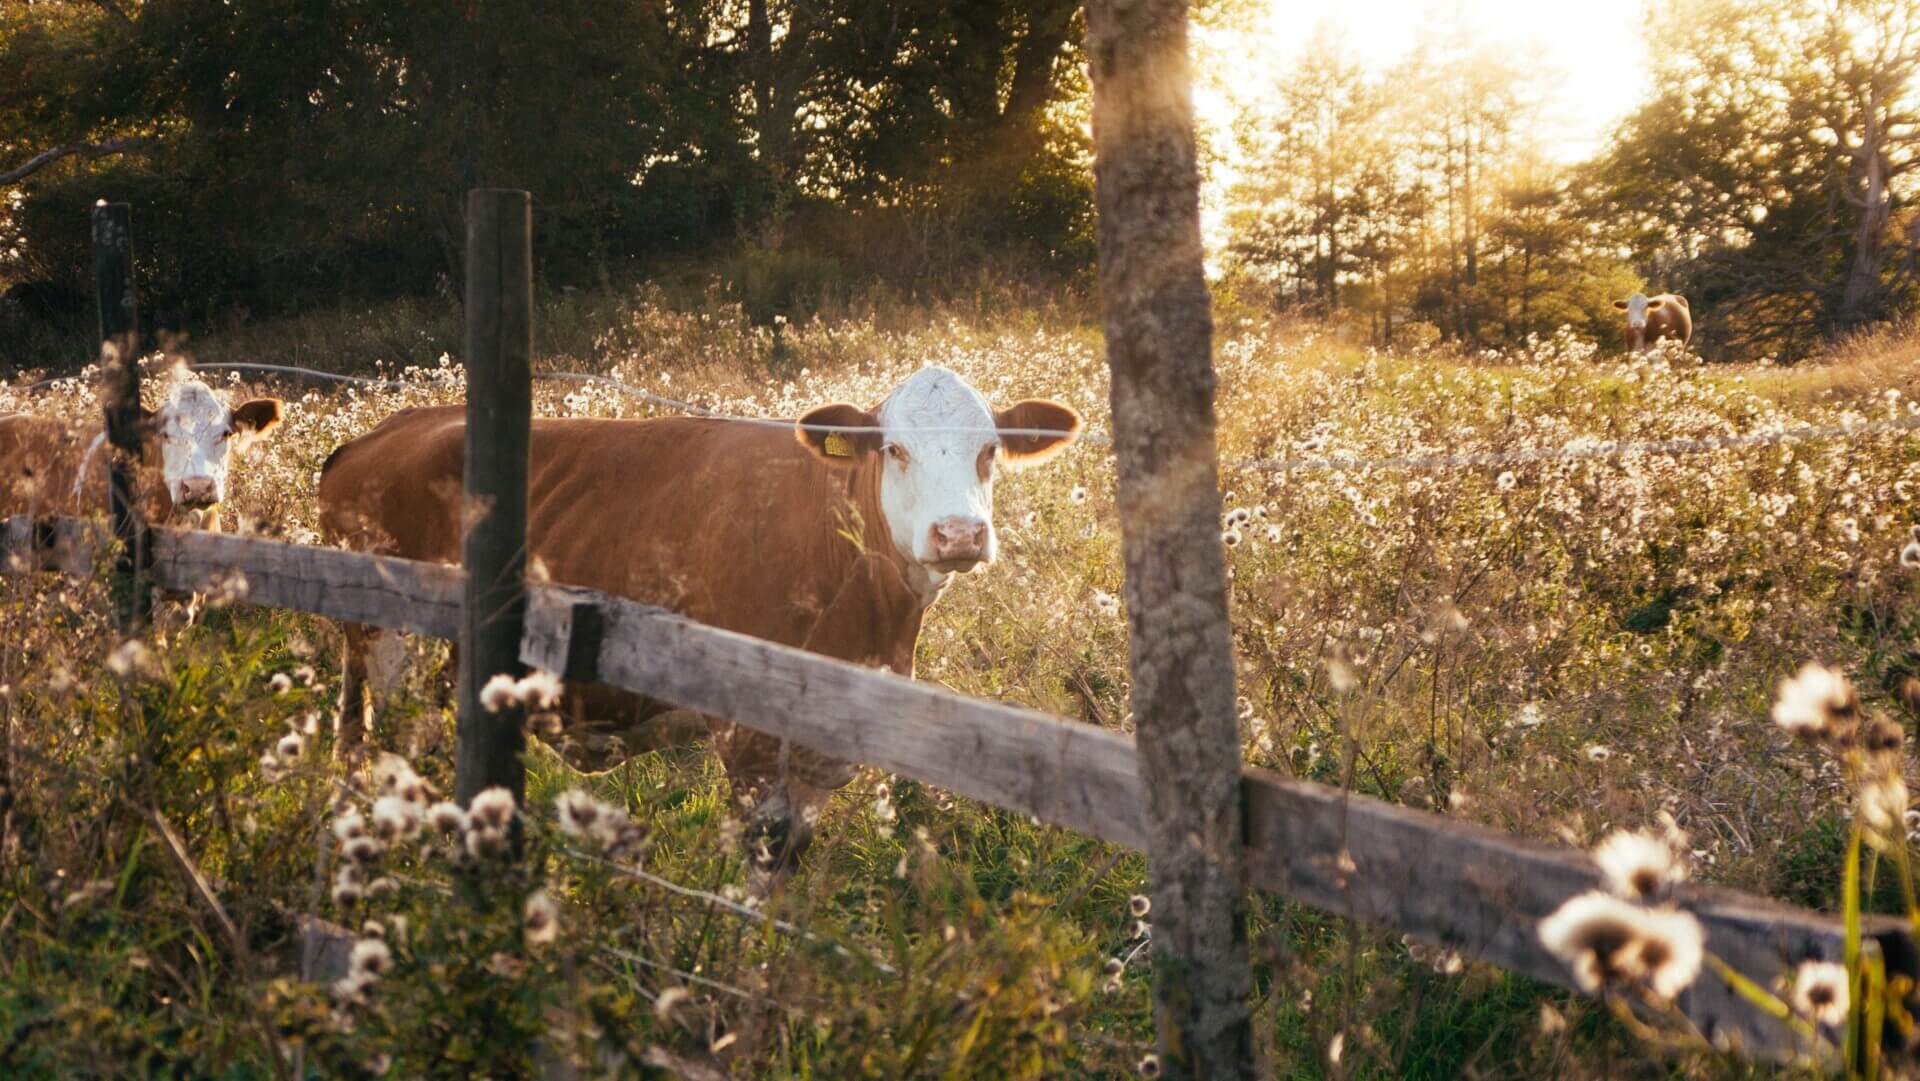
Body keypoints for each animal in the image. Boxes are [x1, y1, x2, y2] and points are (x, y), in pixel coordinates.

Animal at [322, 370, 1090, 879]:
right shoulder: (749, 737)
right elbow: (763, 855)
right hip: (396, 655)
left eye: (990, 449)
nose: (959, 533)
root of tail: (379, 433)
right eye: (894, 449)